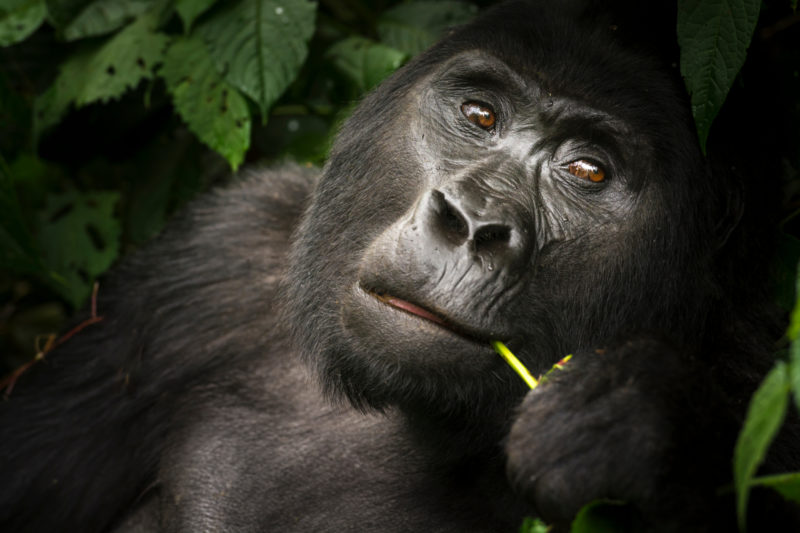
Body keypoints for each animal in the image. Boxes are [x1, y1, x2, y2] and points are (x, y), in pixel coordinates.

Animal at [1, 0, 800, 528]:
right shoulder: (220, 253)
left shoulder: (757, 379)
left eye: (587, 170)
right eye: (480, 116)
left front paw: (642, 423)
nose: (472, 222)